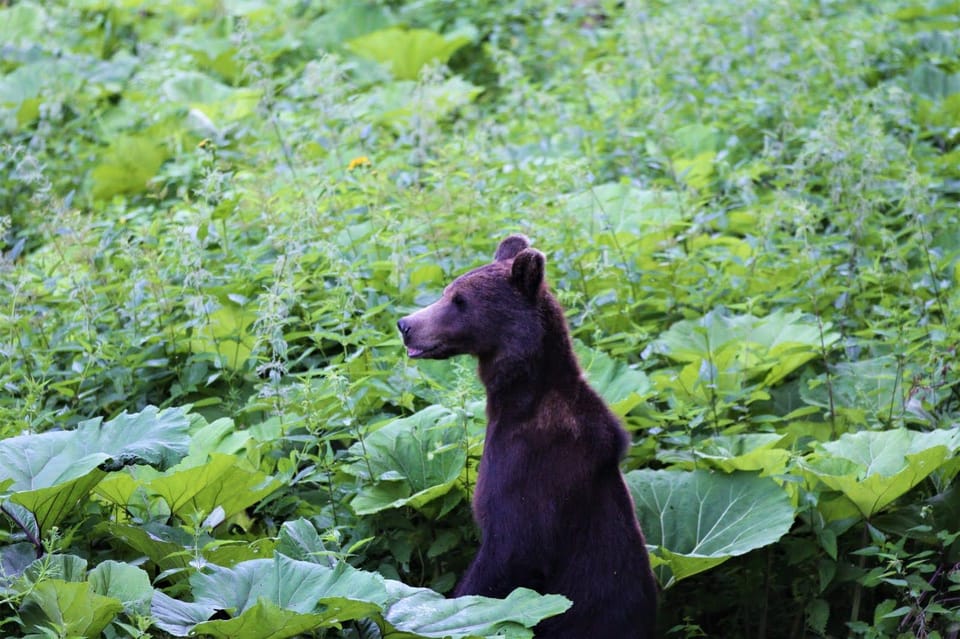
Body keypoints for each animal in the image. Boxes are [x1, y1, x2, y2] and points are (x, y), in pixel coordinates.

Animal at [394, 236, 656, 639]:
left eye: (459, 301)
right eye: (446, 291)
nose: (406, 324)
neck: (519, 399)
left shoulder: (530, 471)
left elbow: (509, 556)